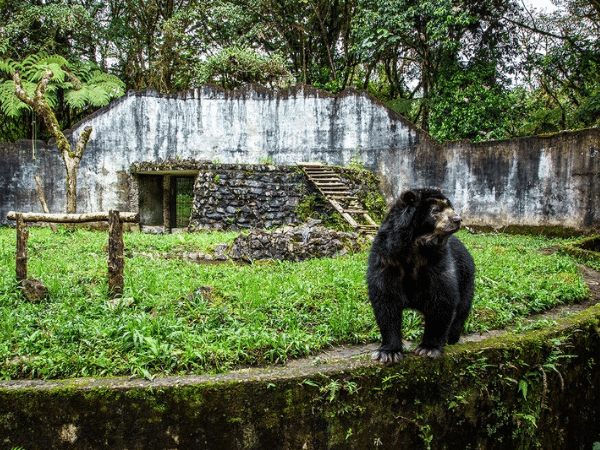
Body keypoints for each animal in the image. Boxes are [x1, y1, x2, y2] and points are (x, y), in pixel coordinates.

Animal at [368, 188, 476, 364]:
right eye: (435, 210)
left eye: (450, 207)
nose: (457, 219)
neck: (416, 246)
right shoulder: (386, 260)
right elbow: (386, 301)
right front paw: (388, 353)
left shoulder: (438, 263)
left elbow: (442, 300)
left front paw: (428, 348)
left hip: (466, 279)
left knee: (461, 312)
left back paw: (451, 339)